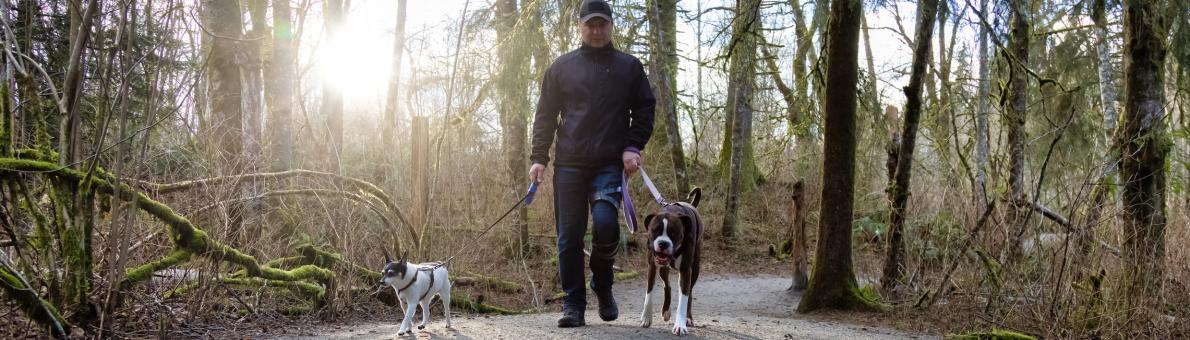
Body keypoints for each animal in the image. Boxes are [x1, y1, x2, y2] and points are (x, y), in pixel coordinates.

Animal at [637, 189, 699, 335]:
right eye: (654, 230)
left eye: (674, 233)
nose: (663, 243)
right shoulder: (652, 267)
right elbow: (649, 293)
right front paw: (646, 317)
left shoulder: (686, 270)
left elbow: (684, 298)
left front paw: (680, 325)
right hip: (663, 269)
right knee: (667, 285)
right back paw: (666, 310)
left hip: (695, 268)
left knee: (689, 292)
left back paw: (688, 317)